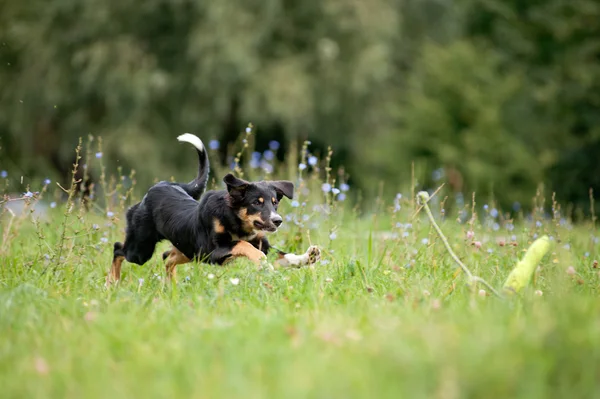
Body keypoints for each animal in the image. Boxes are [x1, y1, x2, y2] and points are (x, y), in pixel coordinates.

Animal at [109, 134, 322, 284]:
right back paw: (112, 282)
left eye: (274, 202)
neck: (235, 221)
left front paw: (308, 256)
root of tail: (161, 185)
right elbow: (243, 246)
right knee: (119, 249)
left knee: (166, 256)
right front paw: (261, 262)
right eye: (257, 202)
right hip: (141, 249)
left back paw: (171, 285)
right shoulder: (213, 249)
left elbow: (284, 256)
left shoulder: (260, 243)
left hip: (189, 249)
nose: (277, 220)